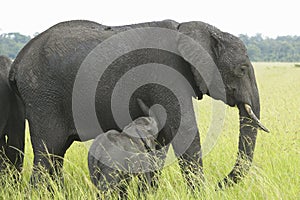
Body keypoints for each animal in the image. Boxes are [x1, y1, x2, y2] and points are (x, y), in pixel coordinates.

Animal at [9, 19, 268, 189]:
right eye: (242, 69)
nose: (219, 184)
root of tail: (17, 62)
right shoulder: (166, 74)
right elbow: (183, 131)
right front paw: (200, 192)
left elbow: (162, 139)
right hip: (43, 97)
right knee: (48, 153)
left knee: (55, 156)